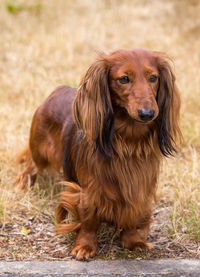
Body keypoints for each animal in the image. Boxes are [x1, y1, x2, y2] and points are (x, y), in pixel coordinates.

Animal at [16, 49, 180, 258]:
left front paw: (133, 241)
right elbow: (89, 220)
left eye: (153, 78)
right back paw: (22, 187)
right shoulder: (88, 191)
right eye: (124, 79)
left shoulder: (138, 189)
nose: (147, 113)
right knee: (29, 167)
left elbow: (132, 215)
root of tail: (57, 90)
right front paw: (85, 246)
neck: (128, 142)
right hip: (39, 152)